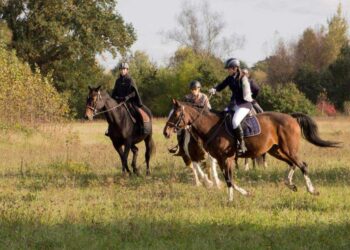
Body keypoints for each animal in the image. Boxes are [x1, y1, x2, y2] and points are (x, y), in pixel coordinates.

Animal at [163, 99, 340, 201]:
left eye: (176, 114)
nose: (165, 132)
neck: (211, 126)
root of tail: (290, 117)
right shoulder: (220, 159)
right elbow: (229, 180)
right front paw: (245, 194)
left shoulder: (226, 158)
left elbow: (229, 180)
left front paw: (230, 200)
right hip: (276, 151)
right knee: (293, 164)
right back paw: (290, 184)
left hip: (289, 149)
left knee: (303, 165)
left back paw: (312, 190)